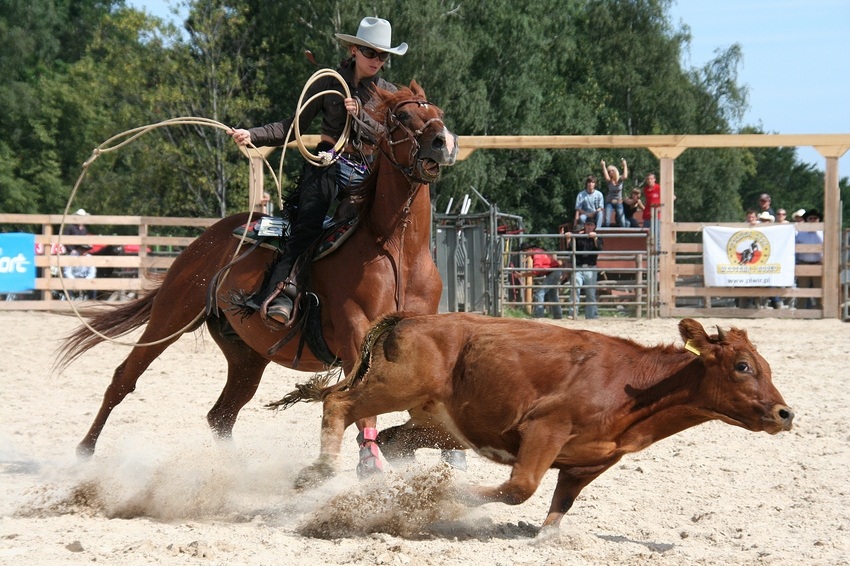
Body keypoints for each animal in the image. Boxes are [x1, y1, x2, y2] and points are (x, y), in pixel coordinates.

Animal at [58, 82, 458, 460]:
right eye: (402, 116)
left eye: (439, 113)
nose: (445, 143)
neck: (396, 250)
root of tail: (208, 239)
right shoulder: (355, 338)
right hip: (172, 315)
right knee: (124, 378)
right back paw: (83, 452)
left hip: (246, 354)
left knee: (221, 415)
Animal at [284, 316, 788, 532]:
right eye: (743, 366)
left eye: (766, 366)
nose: (786, 414)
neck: (633, 388)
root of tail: (403, 318)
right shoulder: (545, 429)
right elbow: (518, 489)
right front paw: (446, 495)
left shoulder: (586, 464)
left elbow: (557, 512)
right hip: (393, 387)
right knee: (337, 404)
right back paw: (319, 472)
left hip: (433, 423)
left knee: (389, 438)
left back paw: (385, 490)